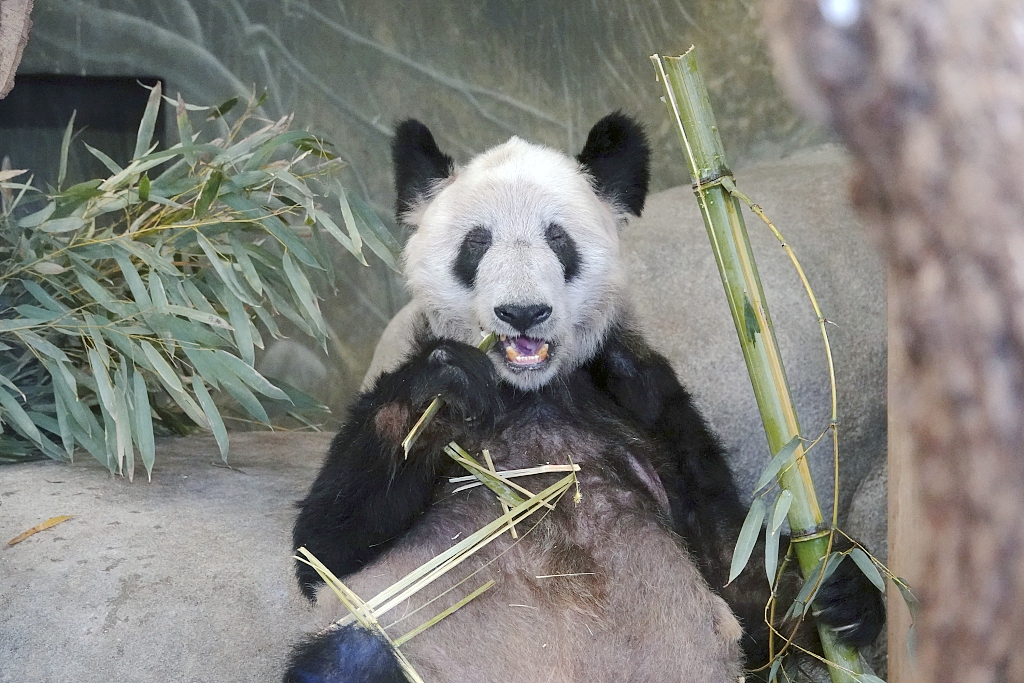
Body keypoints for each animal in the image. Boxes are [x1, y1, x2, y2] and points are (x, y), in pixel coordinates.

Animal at [284, 114, 884, 679]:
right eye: (477, 242)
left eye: (558, 238)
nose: (522, 312)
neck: (529, 392)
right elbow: (326, 547)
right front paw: (443, 388)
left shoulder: (645, 400)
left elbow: (738, 573)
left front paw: (843, 586)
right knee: (351, 656)